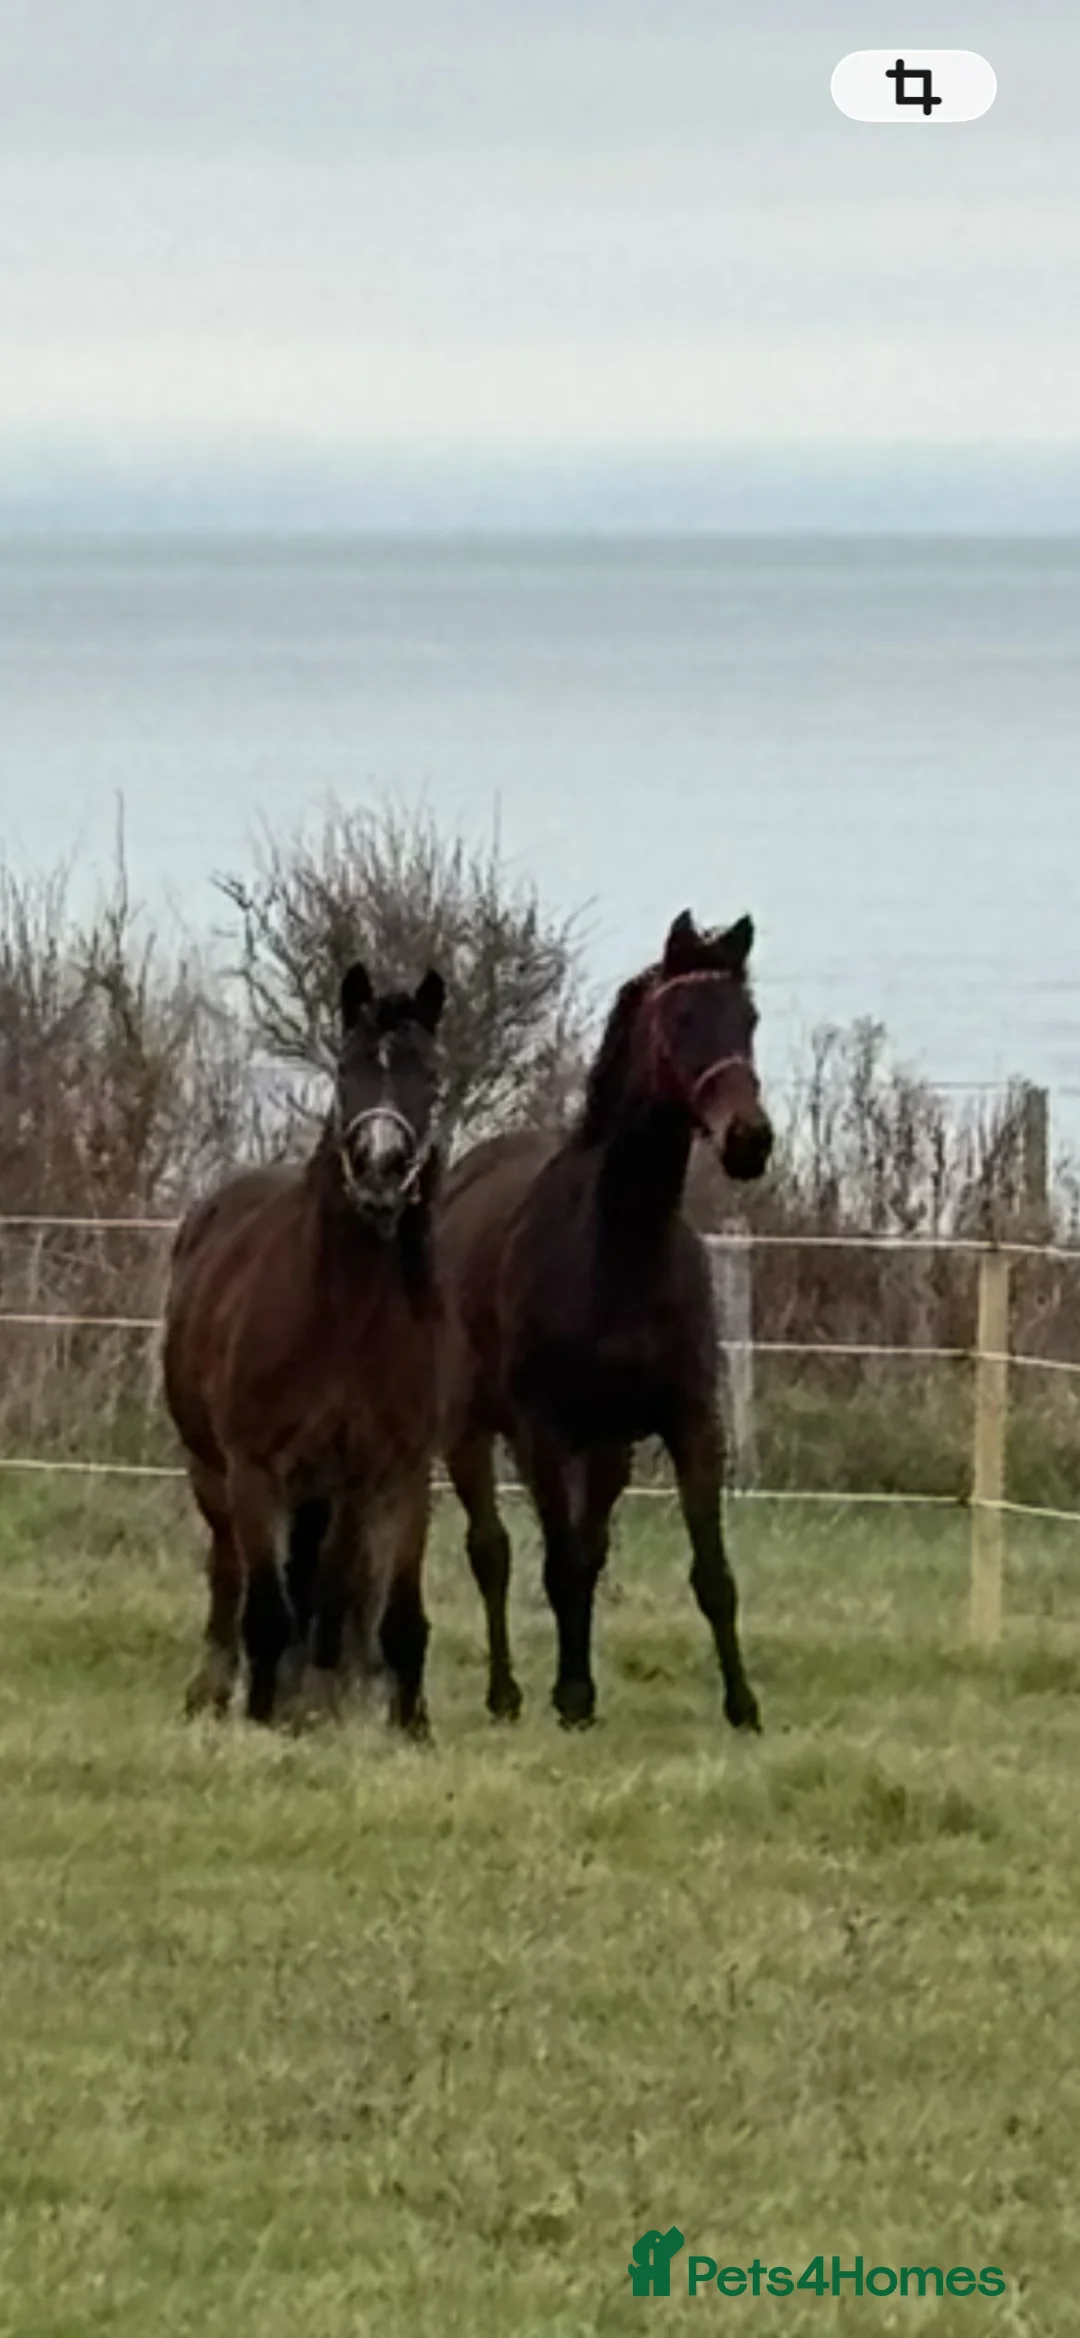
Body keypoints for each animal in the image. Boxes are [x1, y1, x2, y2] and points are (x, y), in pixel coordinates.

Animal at [162, 960, 446, 1733]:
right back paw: (217, 1690)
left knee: (327, 1589)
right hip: (213, 1473)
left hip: (331, 1491)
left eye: (430, 1073)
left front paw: (410, 1725)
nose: (381, 1169)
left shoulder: (398, 1470)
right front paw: (261, 1717)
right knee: (231, 1577)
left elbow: (394, 1612)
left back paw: (313, 1693)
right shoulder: (254, 1469)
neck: (342, 1316)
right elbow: (264, 1607)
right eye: (348, 1068)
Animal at [437, 909, 773, 1731]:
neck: (617, 1246)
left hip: (607, 1449)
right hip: (468, 1430)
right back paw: (506, 1694)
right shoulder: (542, 1430)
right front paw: (571, 1697)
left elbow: (711, 1574)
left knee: (584, 1551)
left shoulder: (690, 1421)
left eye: (748, 1018)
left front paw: (743, 1706)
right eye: (682, 1019)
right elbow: (554, 1565)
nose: (749, 1140)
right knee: (491, 1551)